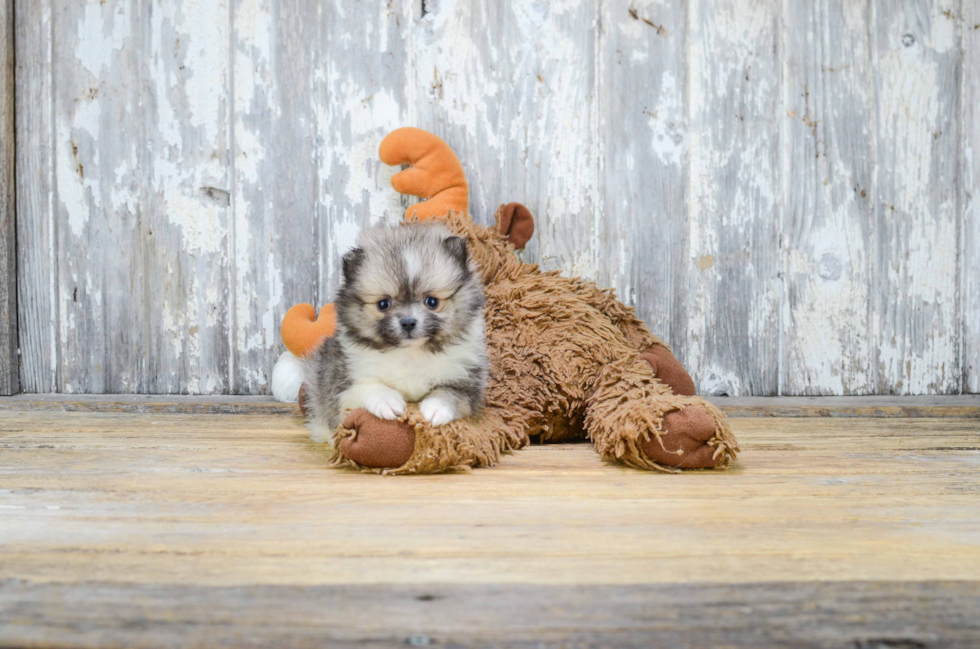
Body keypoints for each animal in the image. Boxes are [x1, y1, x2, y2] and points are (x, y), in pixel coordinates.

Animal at [304, 220, 488, 442]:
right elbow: (367, 386)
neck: (410, 353)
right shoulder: (343, 384)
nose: (408, 322)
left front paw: (436, 408)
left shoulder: (468, 384)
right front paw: (387, 401)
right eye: (383, 304)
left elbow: (449, 393)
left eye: (432, 302)